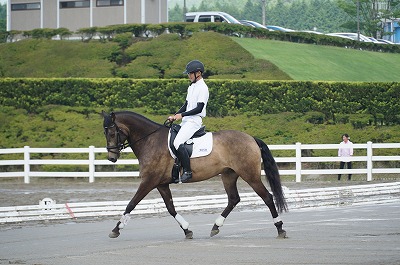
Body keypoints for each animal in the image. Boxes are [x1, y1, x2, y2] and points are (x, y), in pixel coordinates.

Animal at [101, 110, 288, 238]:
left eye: (112, 132)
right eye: (105, 133)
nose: (111, 158)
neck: (150, 140)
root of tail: (251, 138)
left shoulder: (149, 181)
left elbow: (131, 204)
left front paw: (116, 229)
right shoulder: (161, 183)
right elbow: (170, 208)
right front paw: (187, 230)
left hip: (250, 175)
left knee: (267, 197)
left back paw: (280, 228)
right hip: (229, 175)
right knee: (233, 199)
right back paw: (215, 227)